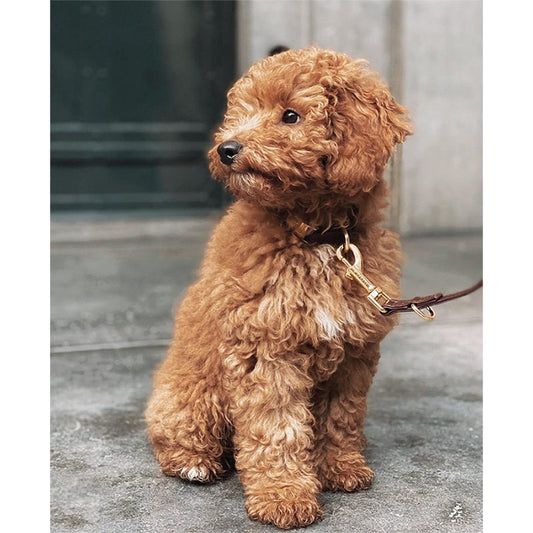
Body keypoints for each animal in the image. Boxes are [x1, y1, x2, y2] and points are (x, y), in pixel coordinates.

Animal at [145, 46, 412, 528]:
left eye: (291, 115)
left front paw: (339, 467)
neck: (317, 238)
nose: (226, 148)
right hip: (195, 394)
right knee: (176, 434)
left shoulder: (353, 354)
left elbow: (341, 416)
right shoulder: (265, 349)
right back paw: (194, 463)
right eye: (242, 111)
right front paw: (283, 495)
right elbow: (277, 427)